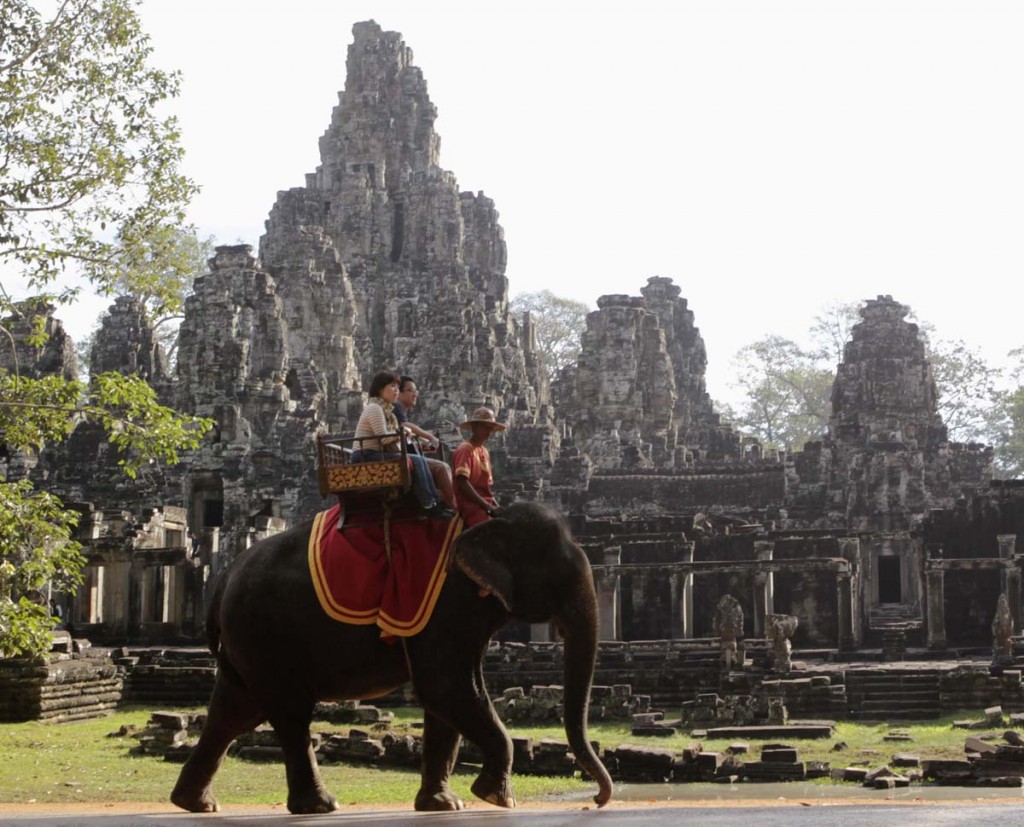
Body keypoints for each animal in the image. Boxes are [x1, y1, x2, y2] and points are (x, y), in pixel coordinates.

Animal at [172, 501, 610, 810]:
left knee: (234, 712)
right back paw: (319, 806)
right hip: (265, 633)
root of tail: (225, 576)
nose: (597, 798)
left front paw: (444, 804)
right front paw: (496, 797)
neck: (486, 516)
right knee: (288, 714)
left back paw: (195, 803)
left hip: (248, 642)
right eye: (557, 572)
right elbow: (444, 687)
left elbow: (446, 699)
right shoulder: (449, 602)